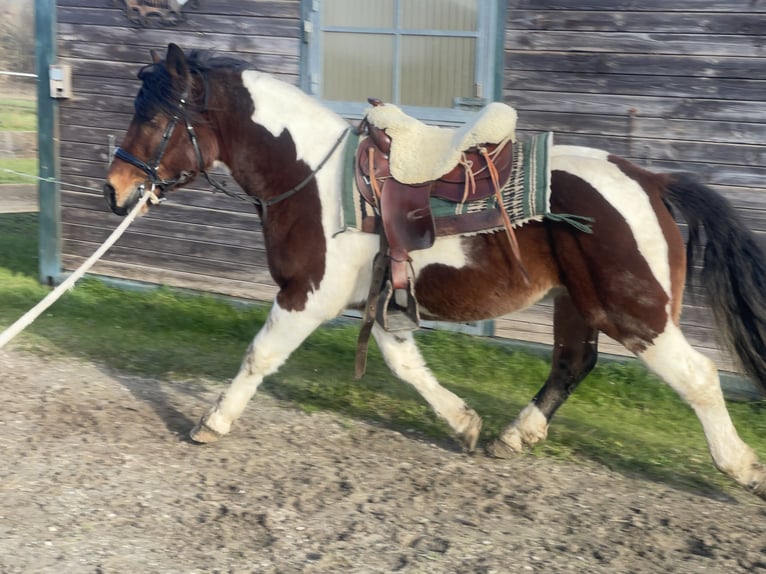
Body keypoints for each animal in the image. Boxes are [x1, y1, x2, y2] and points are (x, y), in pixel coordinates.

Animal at [103, 45, 766, 502]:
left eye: (156, 117)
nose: (116, 189)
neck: (315, 178)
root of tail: (649, 180)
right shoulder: (380, 301)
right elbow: (406, 366)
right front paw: (465, 423)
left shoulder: (305, 297)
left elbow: (259, 356)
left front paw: (212, 422)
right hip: (577, 304)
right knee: (572, 365)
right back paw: (512, 436)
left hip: (633, 311)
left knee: (699, 377)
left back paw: (740, 466)